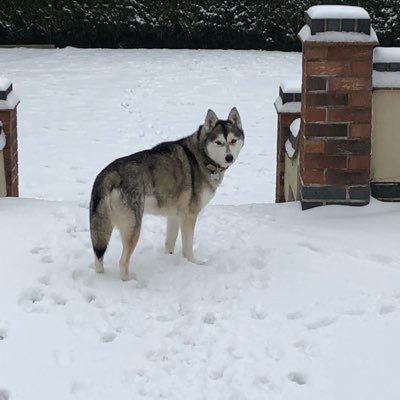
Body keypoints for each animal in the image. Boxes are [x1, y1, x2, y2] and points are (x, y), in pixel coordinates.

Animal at [90, 108, 244, 280]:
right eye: (219, 142)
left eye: (233, 140)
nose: (229, 157)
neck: (202, 156)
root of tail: (108, 174)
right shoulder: (189, 215)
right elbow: (188, 247)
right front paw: (194, 263)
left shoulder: (174, 216)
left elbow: (170, 243)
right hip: (133, 227)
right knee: (123, 261)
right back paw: (129, 281)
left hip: (103, 228)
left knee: (98, 257)